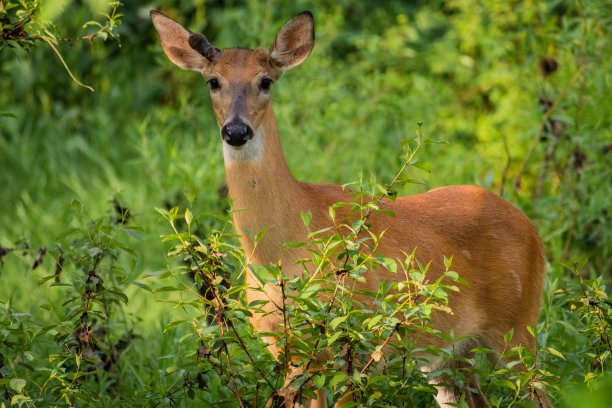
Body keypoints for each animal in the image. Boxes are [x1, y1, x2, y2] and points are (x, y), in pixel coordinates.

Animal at [151, 8, 552, 408]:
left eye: (265, 81)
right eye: (212, 82)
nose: (236, 131)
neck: (282, 252)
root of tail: (532, 229)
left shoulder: (352, 341)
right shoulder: (284, 348)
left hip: (518, 326)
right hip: (449, 354)